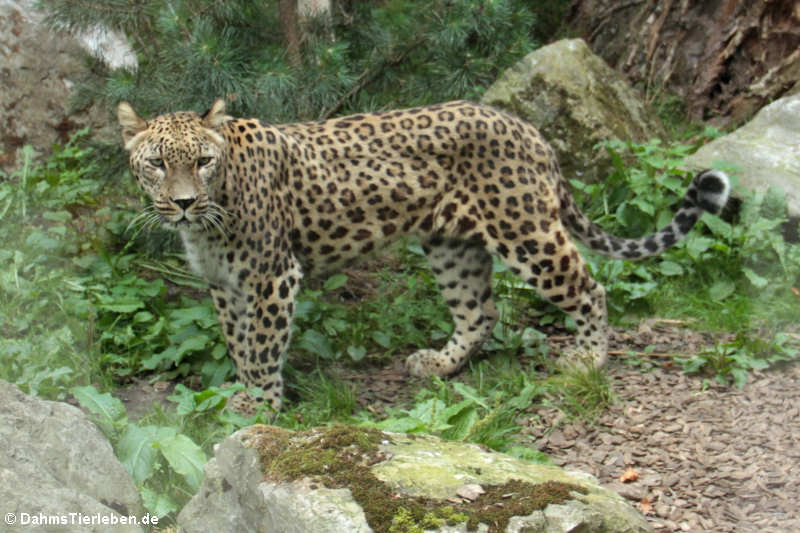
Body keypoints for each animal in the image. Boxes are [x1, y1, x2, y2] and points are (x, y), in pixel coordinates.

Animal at [117, 97, 732, 410]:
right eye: (156, 163)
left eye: (202, 161)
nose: (184, 203)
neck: (210, 221)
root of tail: (530, 130)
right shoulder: (225, 287)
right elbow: (240, 346)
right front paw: (241, 398)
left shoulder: (273, 277)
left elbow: (263, 350)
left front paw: (256, 411)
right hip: (452, 245)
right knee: (480, 311)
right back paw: (439, 364)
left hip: (526, 231)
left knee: (590, 287)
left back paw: (588, 360)